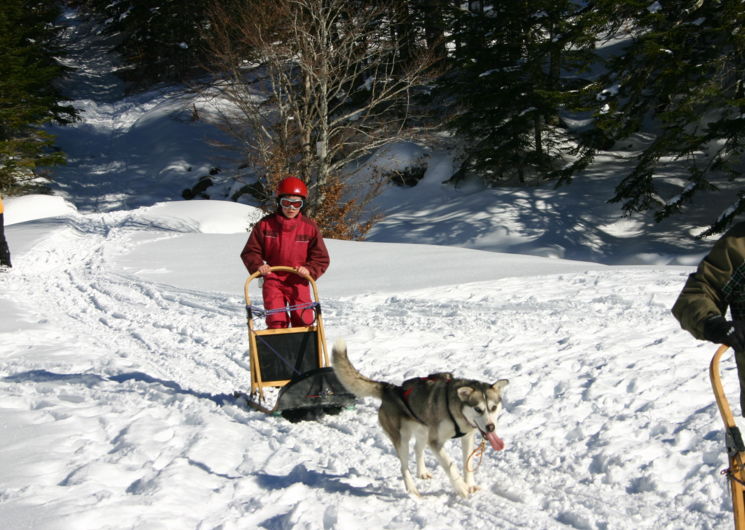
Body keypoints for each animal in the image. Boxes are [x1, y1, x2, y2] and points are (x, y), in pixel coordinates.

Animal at [332, 338, 506, 496]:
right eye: (478, 409)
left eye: (493, 408)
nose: (491, 427)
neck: (455, 410)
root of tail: (390, 389)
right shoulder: (435, 442)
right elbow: (450, 464)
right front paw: (461, 488)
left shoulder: (467, 437)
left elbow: (466, 463)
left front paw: (469, 484)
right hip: (403, 439)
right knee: (403, 467)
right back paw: (412, 490)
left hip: (423, 431)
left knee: (417, 448)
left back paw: (421, 472)